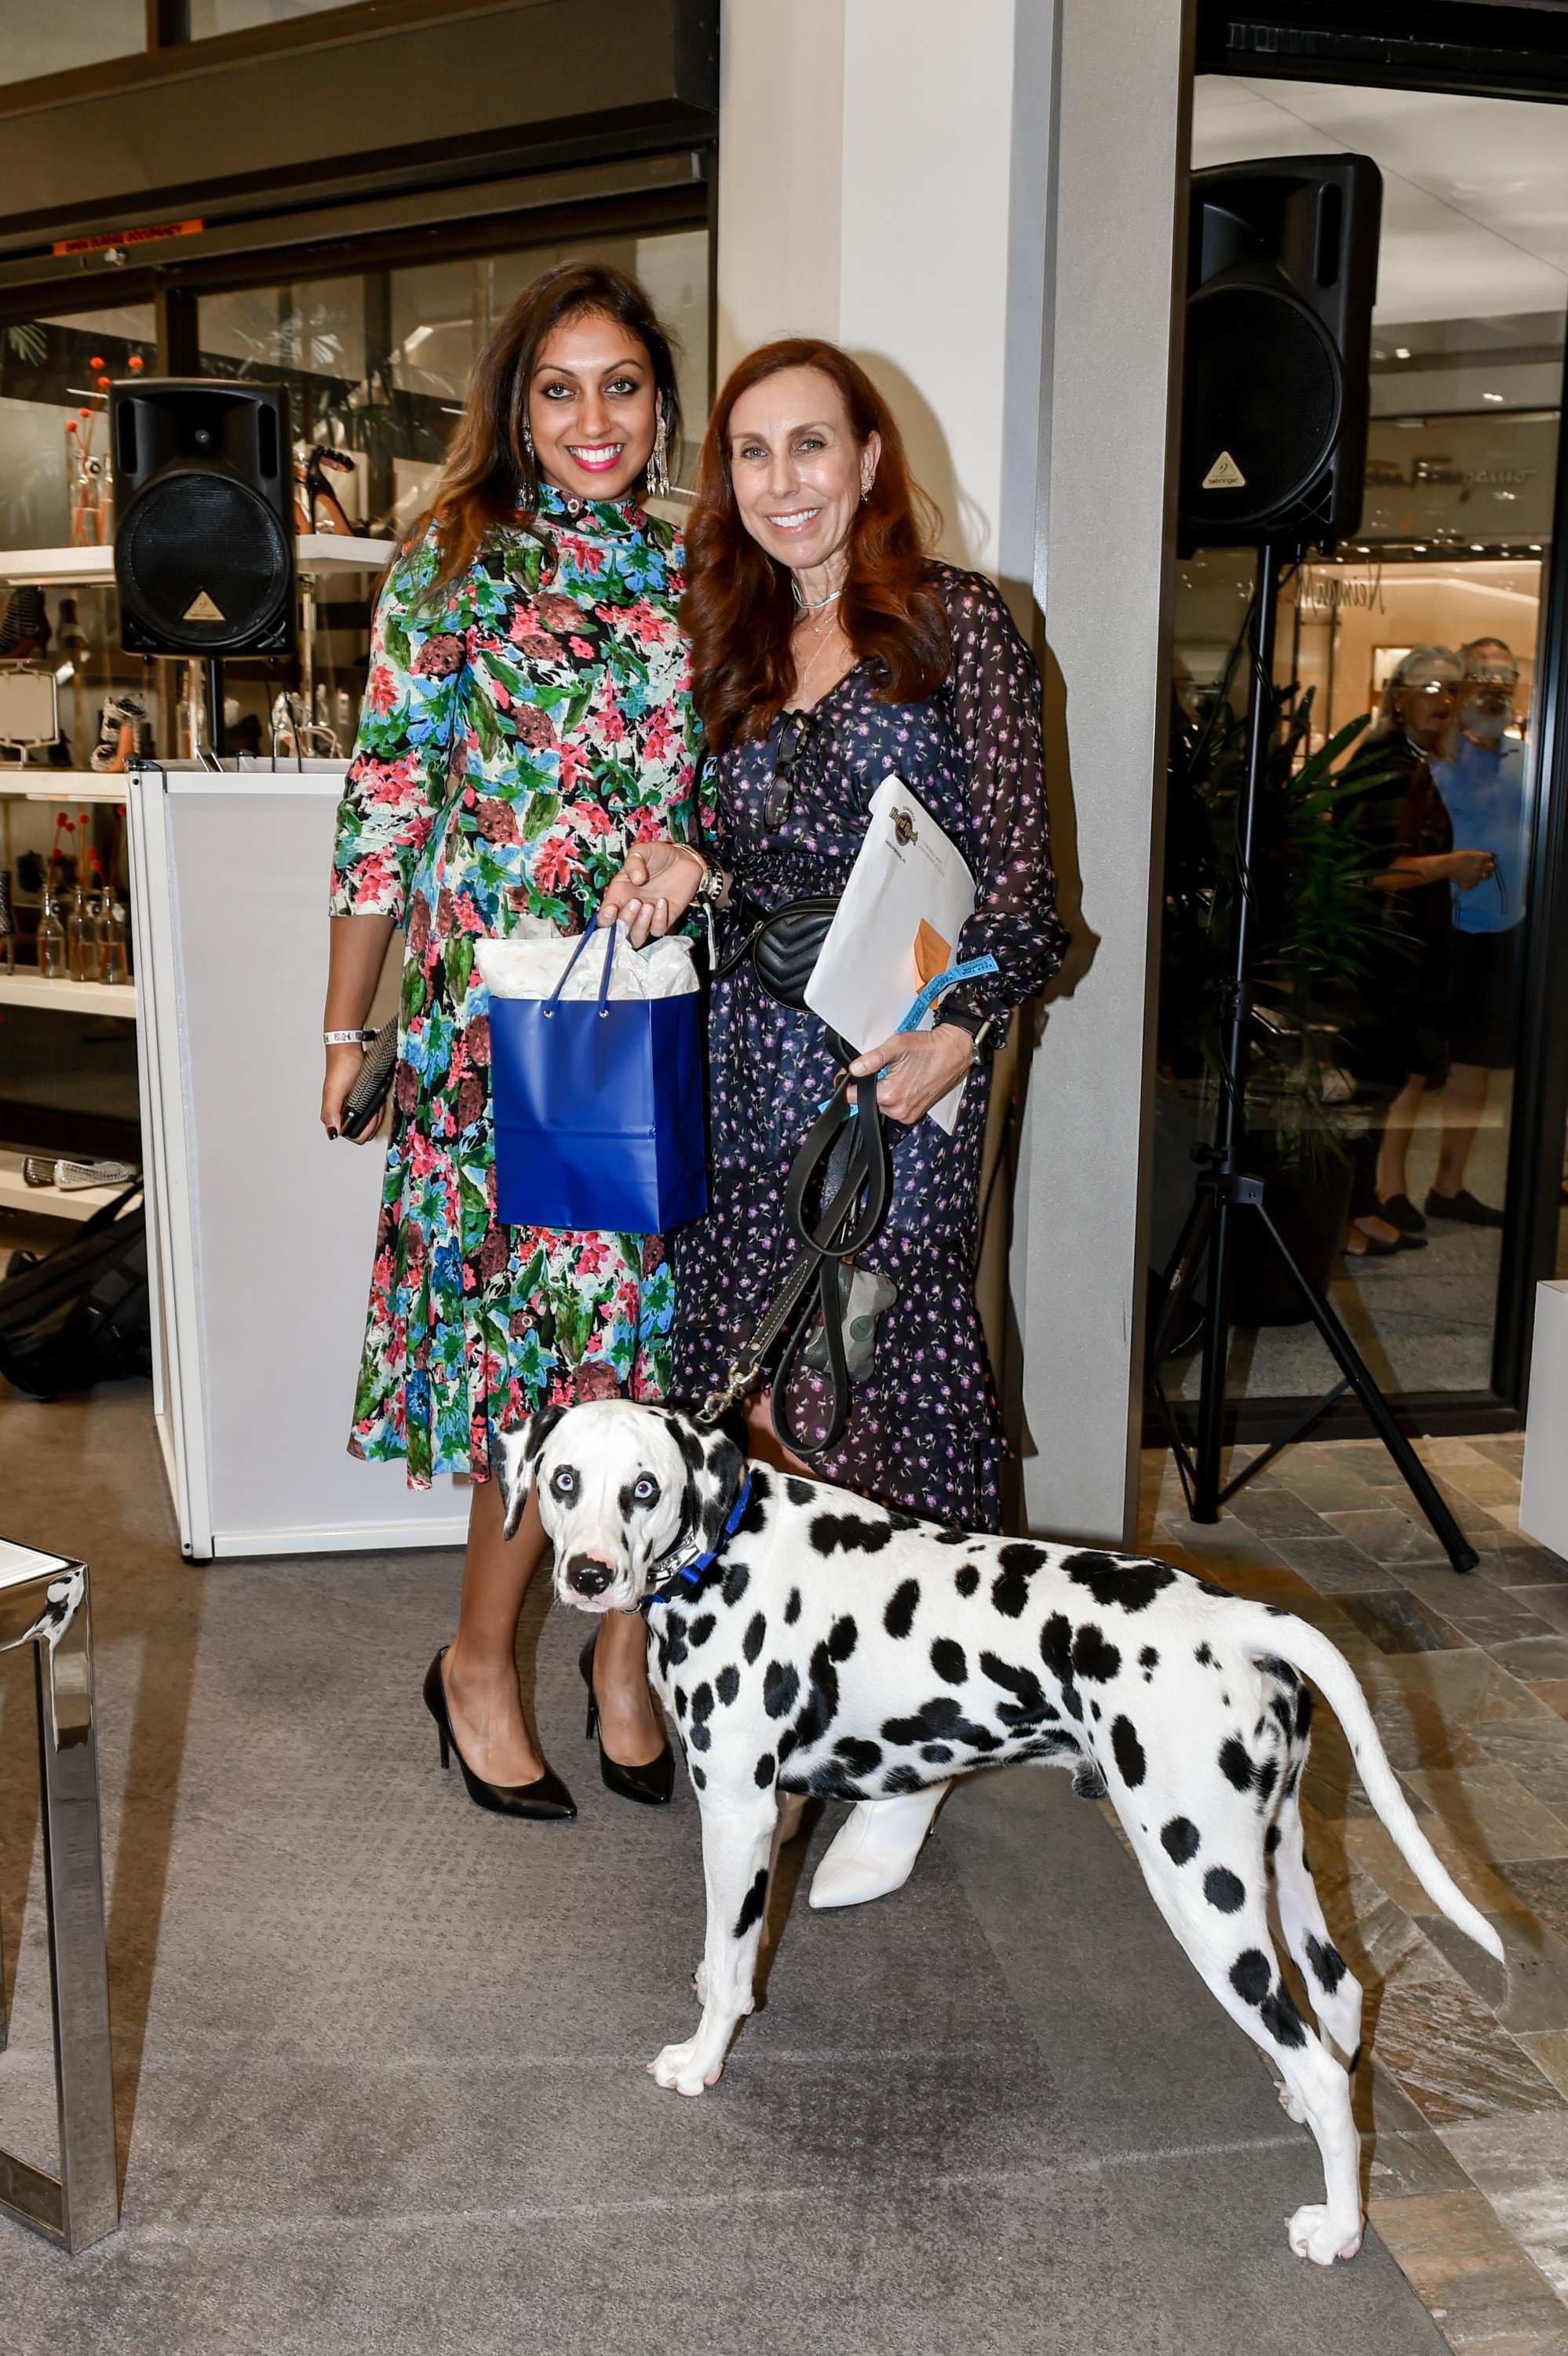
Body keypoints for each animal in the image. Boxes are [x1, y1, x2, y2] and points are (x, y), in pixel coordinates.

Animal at [494, 1395, 1497, 2261]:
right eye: (565, 1480)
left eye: (644, 1487)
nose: (588, 1575)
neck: (728, 1542)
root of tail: (1240, 1617)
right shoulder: (774, 1813)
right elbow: (734, 1948)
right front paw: (716, 1990)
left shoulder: (738, 1809)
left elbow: (732, 1959)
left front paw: (702, 2059)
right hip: (1279, 1863)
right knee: (1340, 2001)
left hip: (1203, 1892)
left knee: (1324, 2066)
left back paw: (1339, 2225)